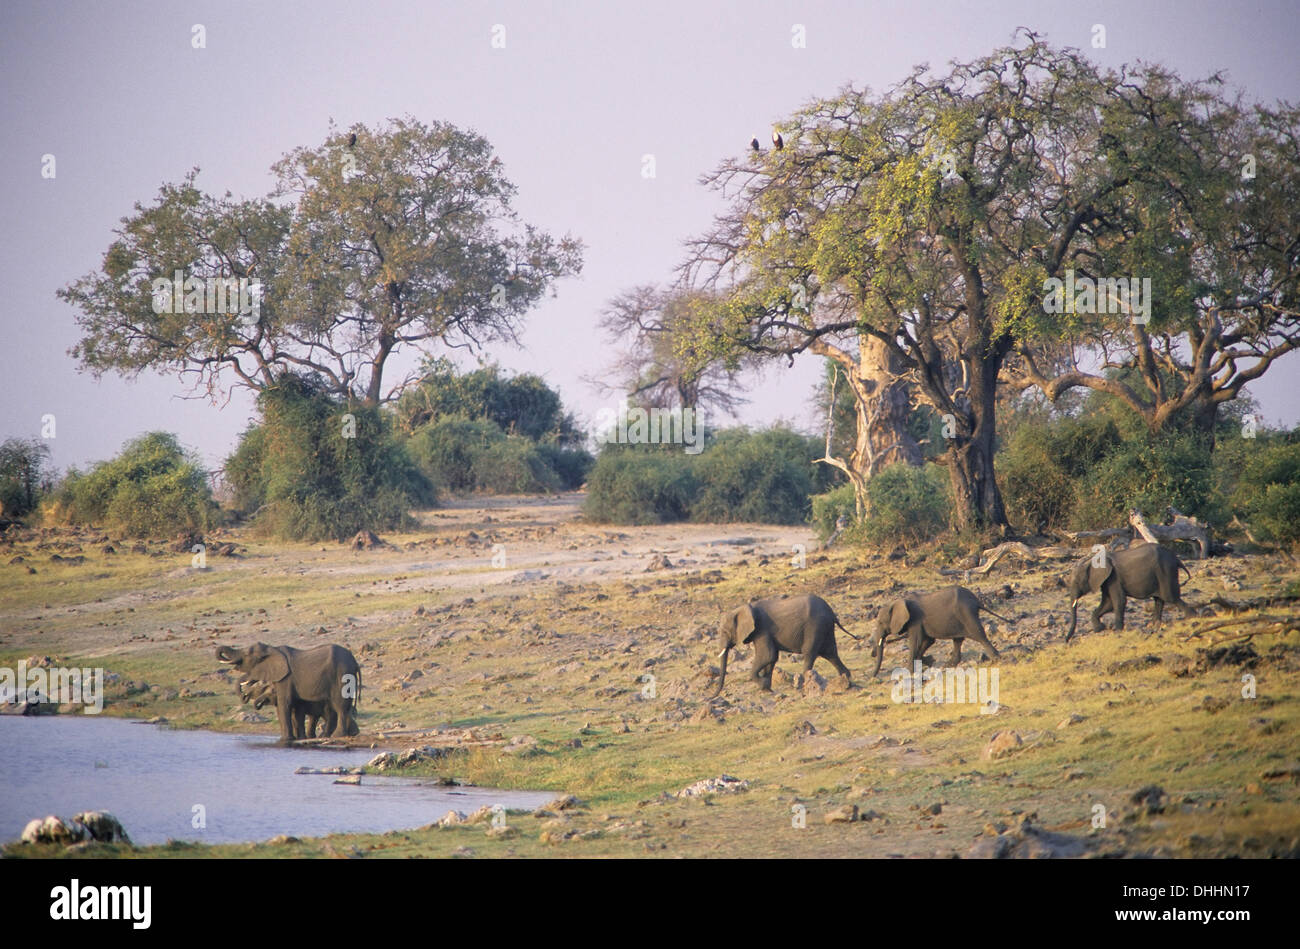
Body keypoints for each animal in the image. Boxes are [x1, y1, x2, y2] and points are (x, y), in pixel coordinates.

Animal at [217, 639, 361, 743]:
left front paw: (285, 740)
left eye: (247, 655)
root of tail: (355, 662)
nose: (244, 696)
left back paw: (336, 736)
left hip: (341, 675)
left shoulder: (285, 679)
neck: (272, 648)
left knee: (339, 706)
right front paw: (293, 739)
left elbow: (284, 704)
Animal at [707, 592, 857, 696]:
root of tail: (832, 612)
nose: (711, 697)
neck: (744, 608)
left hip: (815, 626)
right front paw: (767, 689)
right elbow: (771, 658)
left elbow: (767, 656)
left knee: (810, 653)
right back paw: (846, 678)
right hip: (825, 628)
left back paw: (804, 684)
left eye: (725, 632)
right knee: (830, 653)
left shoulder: (762, 629)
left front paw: (763, 684)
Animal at [868, 585, 1008, 670]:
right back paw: (948, 665)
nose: (872, 654)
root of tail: (976, 601)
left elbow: (916, 642)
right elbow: (928, 641)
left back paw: (996, 659)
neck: (898, 601)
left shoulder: (915, 620)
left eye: (880, 622)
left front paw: (910, 671)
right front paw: (928, 661)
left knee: (979, 635)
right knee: (958, 640)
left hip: (966, 613)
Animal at [1060, 540, 1190, 637]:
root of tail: (1176, 559)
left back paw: (1192, 617)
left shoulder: (1114, 578)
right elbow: (1108, 604)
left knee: (1171, 597)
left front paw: (1117, 631)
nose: (1066, 641)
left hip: (1165, 571)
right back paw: (1155, 625)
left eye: (1077, 582)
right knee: (1159, 600)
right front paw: (1100, 629)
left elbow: (1118, 602)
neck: (1092, 561)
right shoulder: (1106, 580)